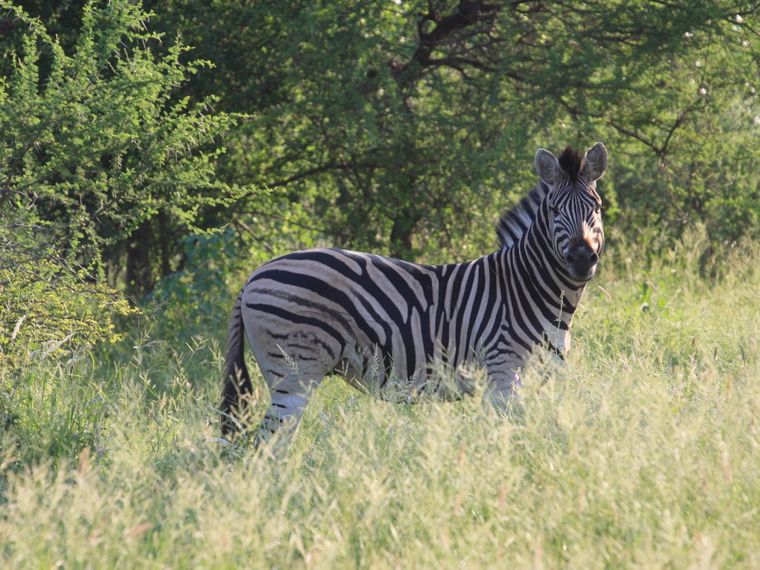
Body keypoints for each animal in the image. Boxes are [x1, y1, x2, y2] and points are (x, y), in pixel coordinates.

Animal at [220, 142, 608, 446]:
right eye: (555, 210)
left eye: (597, 207)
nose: (582, 258)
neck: (528, 287)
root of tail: (252, 276)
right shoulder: (502, 373)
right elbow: (508, 436)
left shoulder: (541, 376)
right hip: (294, 374)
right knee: (266, 446)